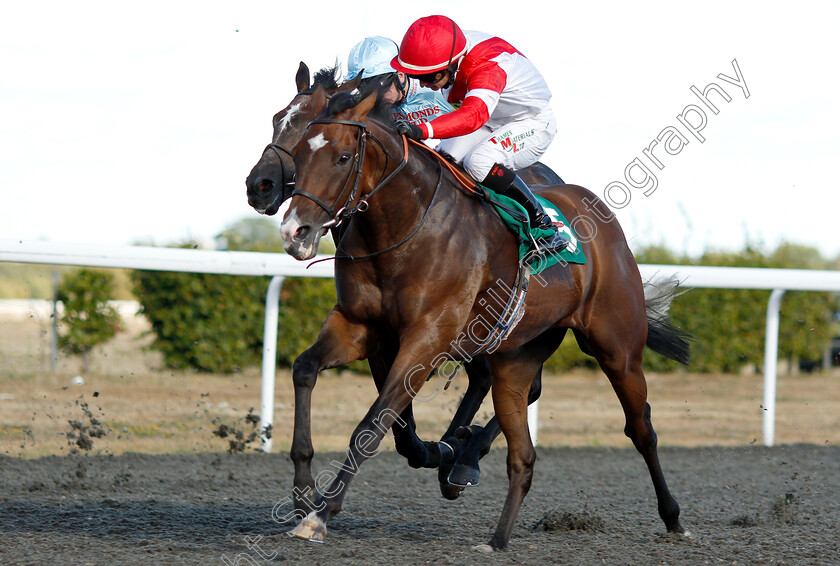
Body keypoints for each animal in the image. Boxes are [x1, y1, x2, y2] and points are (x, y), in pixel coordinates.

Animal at [243, 61, 572, 496]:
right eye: (278, 119)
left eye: (304, 125)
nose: (258, 186)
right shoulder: (375, 331)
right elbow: (380, 407)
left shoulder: (428, 334)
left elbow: (392, 411)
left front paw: (437, 450)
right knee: (488, 380)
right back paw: (455, 448)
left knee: (526, 388)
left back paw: (463, 458)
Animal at [280, 86, 688, 552]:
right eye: (299, 152)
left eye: (344, 157)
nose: (294, 231)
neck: (406, 224)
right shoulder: (358, 325)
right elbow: (305, 369)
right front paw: (302, 496)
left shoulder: (428, 337)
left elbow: (374, 422)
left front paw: (321, 513)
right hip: (519, 350)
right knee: (522, 421)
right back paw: (469, 470)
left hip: (618, 349)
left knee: (641, 429)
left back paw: (673, 517)